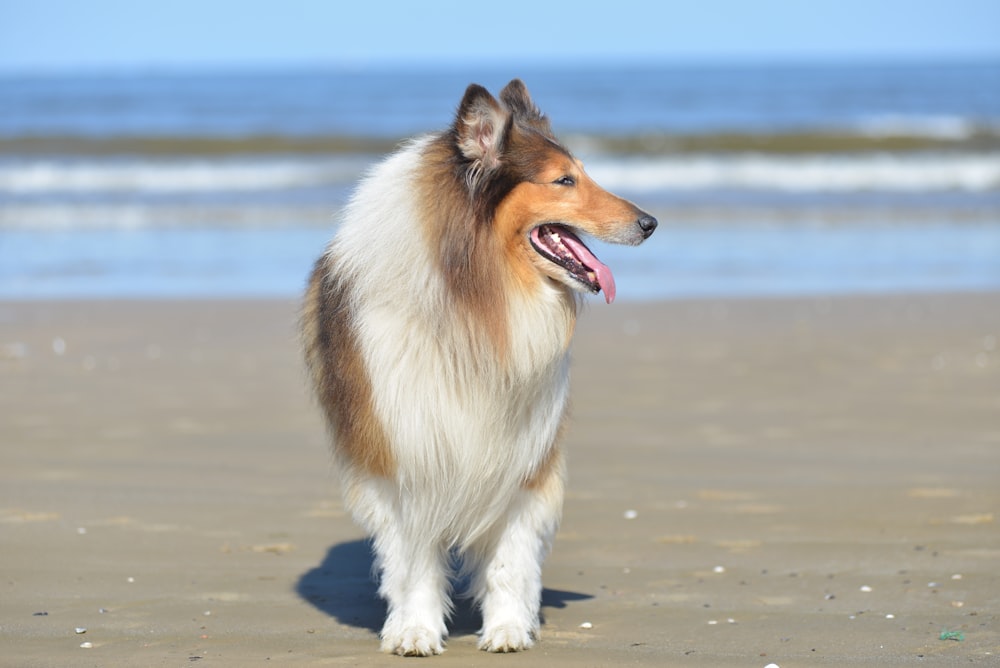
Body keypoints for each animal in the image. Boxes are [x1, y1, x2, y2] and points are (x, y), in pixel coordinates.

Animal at [298, 77, 656, 652]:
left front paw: (508, 628)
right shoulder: (404, 449)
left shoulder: (522, 454)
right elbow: (413, 561)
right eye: (564, 180)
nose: (650, 223)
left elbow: (510, 558)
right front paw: (415, 630)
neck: (476, 299)